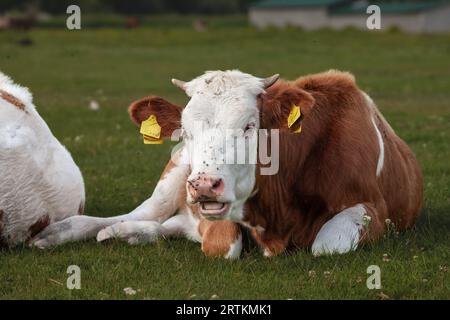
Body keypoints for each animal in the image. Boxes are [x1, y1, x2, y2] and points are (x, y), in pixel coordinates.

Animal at [30, 69, 422, 258]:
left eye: (249, 126)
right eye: (185, 130)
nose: (204, 185)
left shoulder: (373, 207)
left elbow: (329, 244)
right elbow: (222, 245)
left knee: (162, 225)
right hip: (174, 178)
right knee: (138, 216)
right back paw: (66, 232)